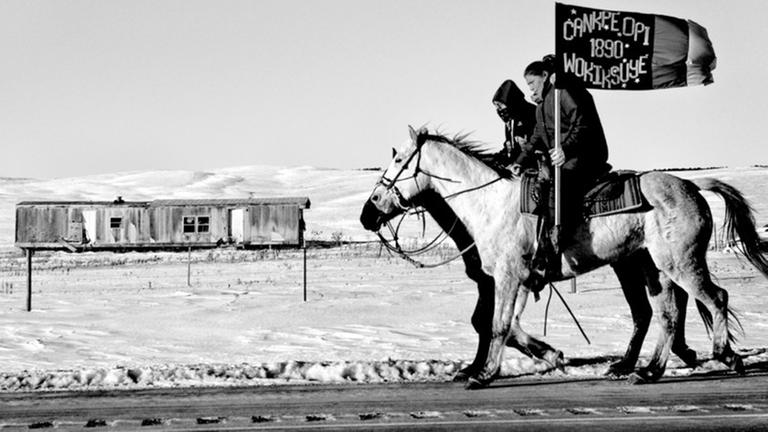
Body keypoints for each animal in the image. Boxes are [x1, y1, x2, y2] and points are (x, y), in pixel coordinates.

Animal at [362, 126, 768, 390]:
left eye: (400, 160)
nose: (370, 211)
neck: (491, 204)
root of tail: (693, 187)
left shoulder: (509, 276)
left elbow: (497, 325)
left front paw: (484, 374)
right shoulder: (518, 280)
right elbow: (502, 324)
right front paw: (545, 355)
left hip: (681, 263)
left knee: (714, 298)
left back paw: (725, 356)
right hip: (656, 269)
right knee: (667, 313)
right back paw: (648, 370)